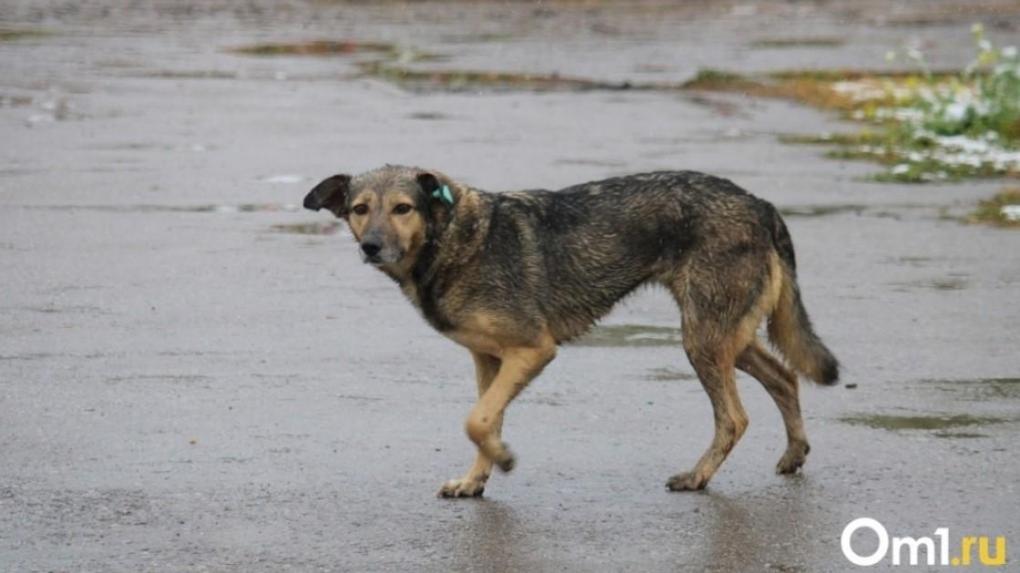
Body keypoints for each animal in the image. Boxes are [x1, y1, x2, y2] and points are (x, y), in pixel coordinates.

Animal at [299, 165, 836, 495]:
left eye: (402, 208)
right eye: (360, 209)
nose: (370, 246)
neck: (453, 238)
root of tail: (760, 203)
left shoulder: (533, 350)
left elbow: (476, 421)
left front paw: (505, 460)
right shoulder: (489, 361)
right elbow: (485, 421)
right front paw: (477, 479)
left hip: (703, 339)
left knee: (735, 417)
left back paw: (697, 477)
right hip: (725, 338)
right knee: (785, 377)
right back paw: (793, 454)